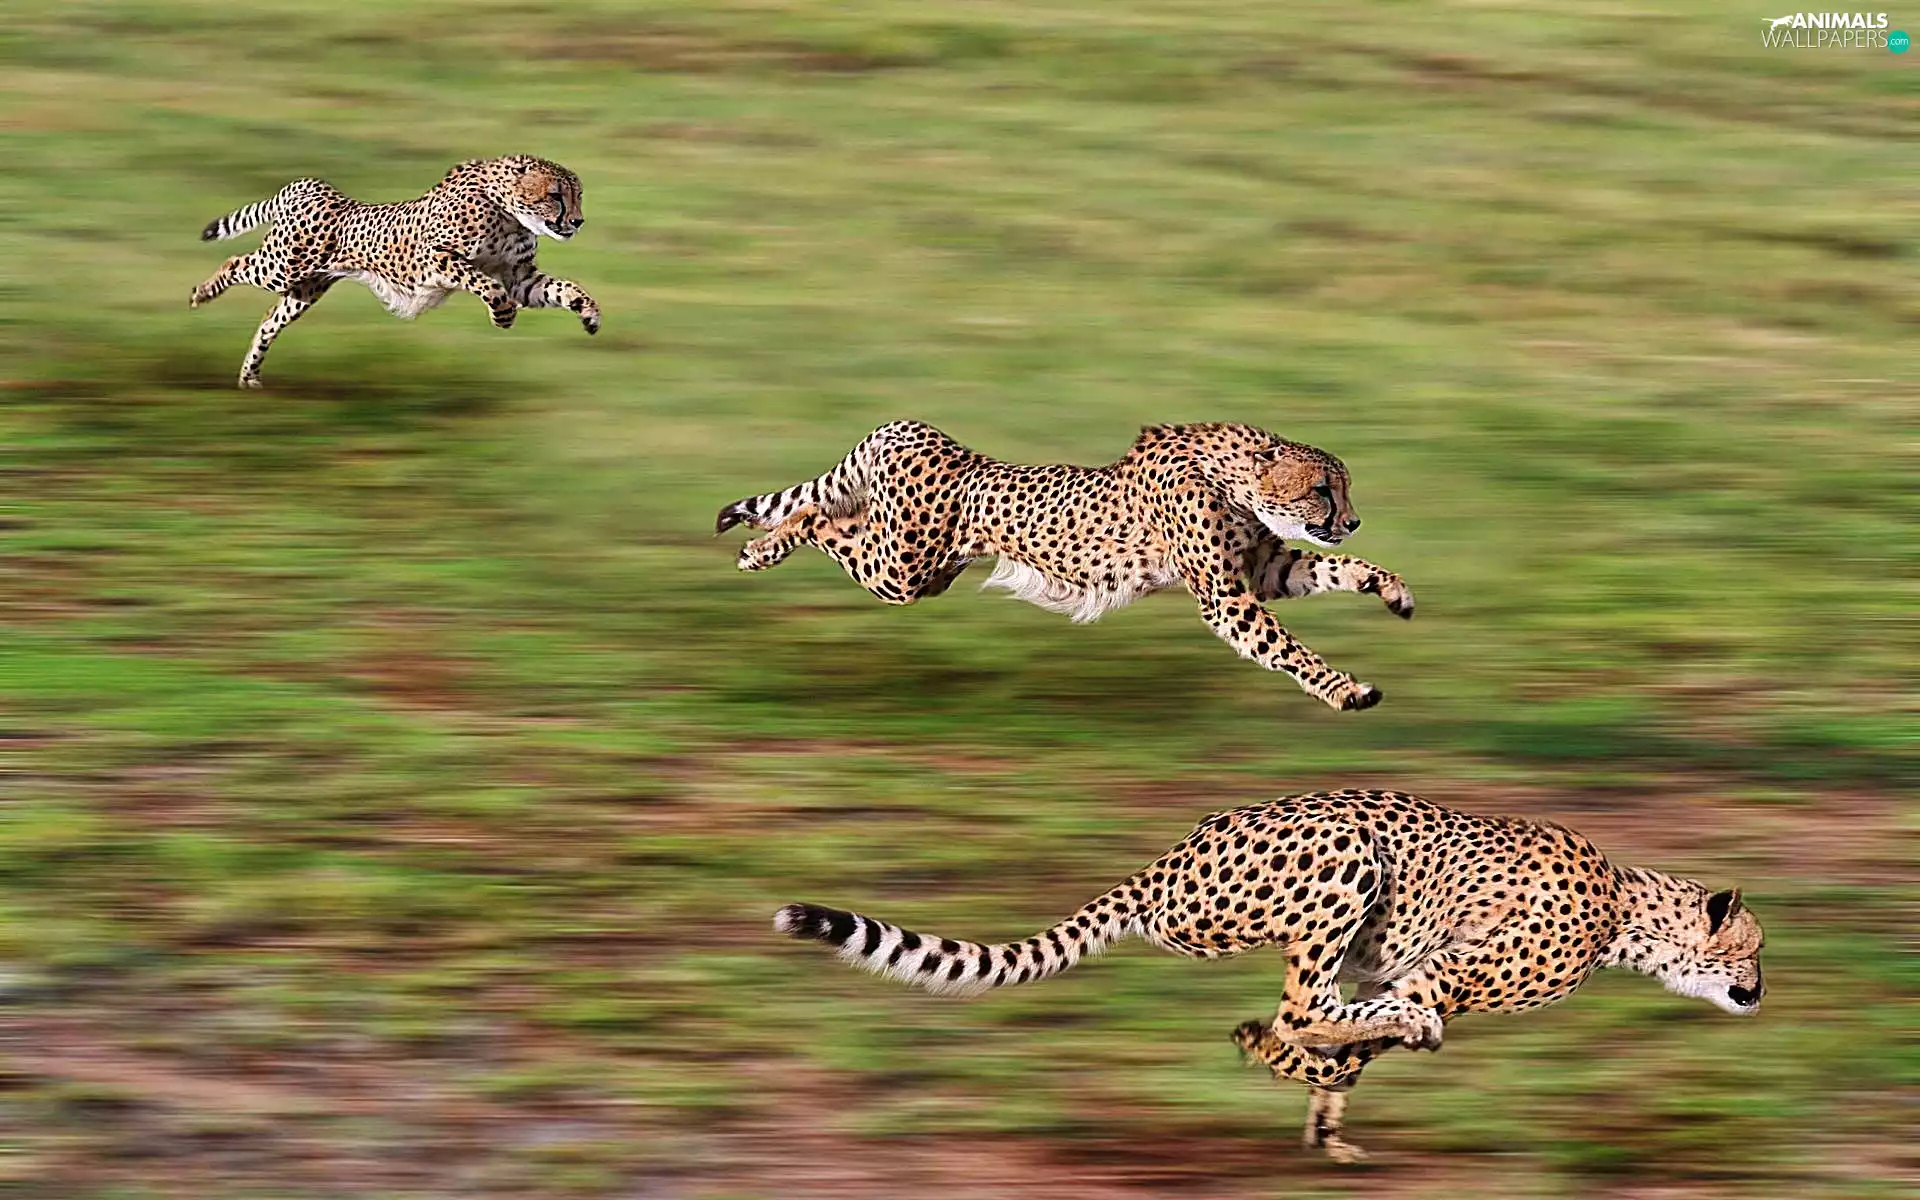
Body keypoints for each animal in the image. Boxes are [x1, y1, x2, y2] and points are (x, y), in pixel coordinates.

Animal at [190, 155, 599, 388]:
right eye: (555, 195)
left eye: (578, 195)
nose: (578, 221)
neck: (509, 213)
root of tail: (312, 185)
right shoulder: (435, 258)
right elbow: (485, 284)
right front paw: (502, 316)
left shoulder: (519, 277)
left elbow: (565, 288)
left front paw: (589, 314)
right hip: (282, 266)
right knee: (235, 262)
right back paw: (202, 293)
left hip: (304, 290)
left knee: (268, 322)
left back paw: (249, 375)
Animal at [716, 420, 1415, 712]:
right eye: (1324, 489)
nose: (1352, 519)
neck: (1234, 474)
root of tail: (912, 428)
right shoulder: (1226, 598)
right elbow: (1289, 649)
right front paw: (1346, 690)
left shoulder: (1263, 570)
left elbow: (1336, 568)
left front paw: (1390, 588)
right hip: (901, 569)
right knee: (818, 517)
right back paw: (762, 547)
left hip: (920, 567)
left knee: (830, 516)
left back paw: (760, 541)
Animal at [774, 788, 1765, 1163]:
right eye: (1753, 951)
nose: (1762, 991)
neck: (1630, 909)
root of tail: (1166, 860)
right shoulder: (1444, 970)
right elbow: (1368, 1029)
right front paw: (1309, 1079)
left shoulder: (1406, 973)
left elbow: (1357, 1044)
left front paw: (1325, 1125)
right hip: (1348, 858)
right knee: (1299, 1006)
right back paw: (1269, 1037)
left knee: (1308, 1006)